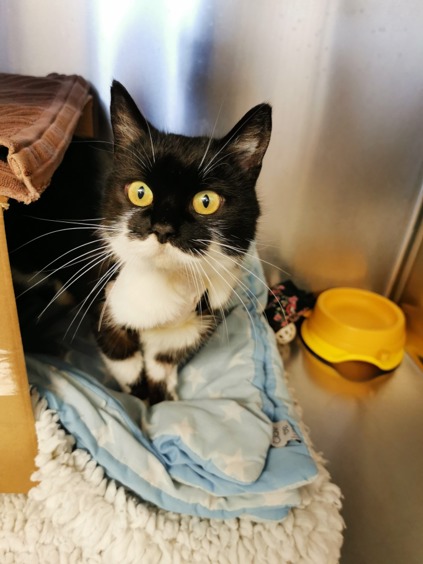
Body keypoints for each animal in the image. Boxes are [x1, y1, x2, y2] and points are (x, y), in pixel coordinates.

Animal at [93, 81, 274, 404]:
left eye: (206, 201)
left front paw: (162, 399)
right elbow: (122, 356)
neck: (163, 282)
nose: (163, 229)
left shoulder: (200, 313)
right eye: (140, 192)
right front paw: (141, 400)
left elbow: (163, 360)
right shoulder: (104, 295)